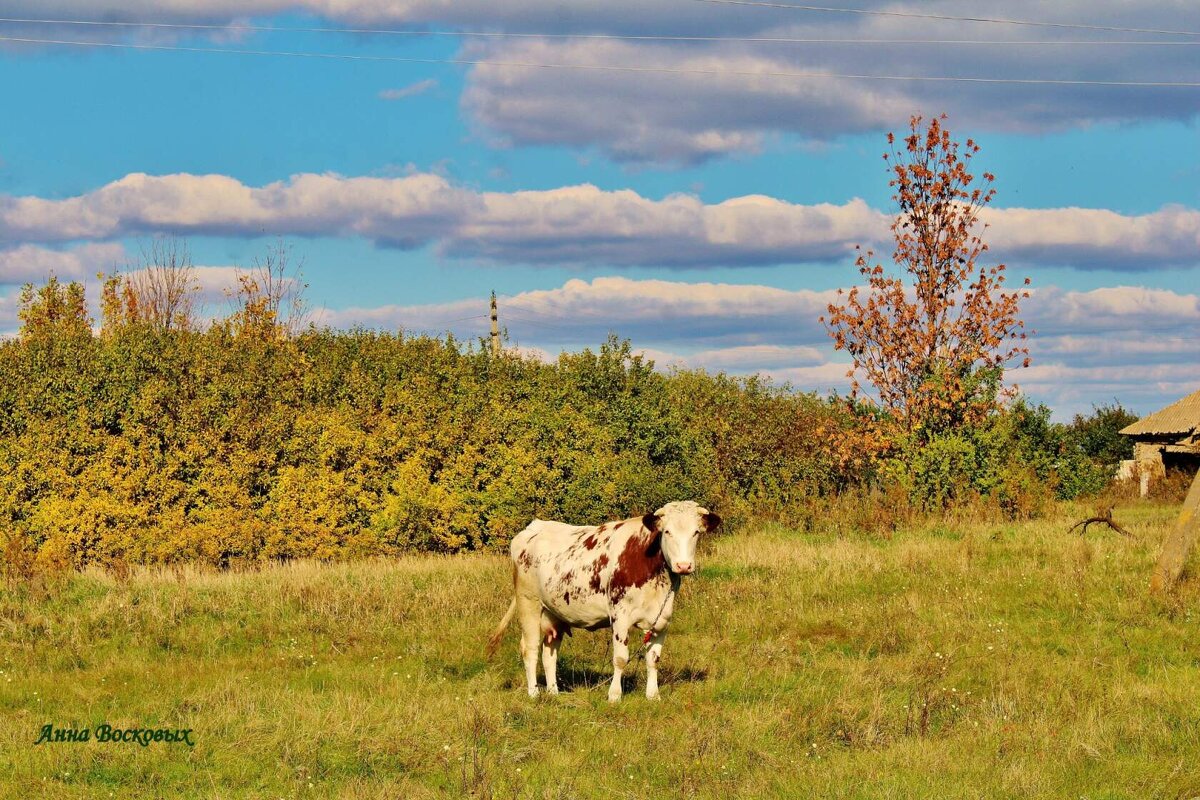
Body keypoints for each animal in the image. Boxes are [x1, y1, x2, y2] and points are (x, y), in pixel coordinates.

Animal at [480, 501, 720, 700]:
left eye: (696, 532)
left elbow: (653, 658)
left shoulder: (662, 619)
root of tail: (534, 526)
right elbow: (621, 658)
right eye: (667, 531)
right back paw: (534, 693)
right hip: (528, 602)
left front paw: (653, 696)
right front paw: (614, 695)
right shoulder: (620, 617)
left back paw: (553, 692)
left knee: (549, 654)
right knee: (529, 648)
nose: (683, 565)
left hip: (554, 612)